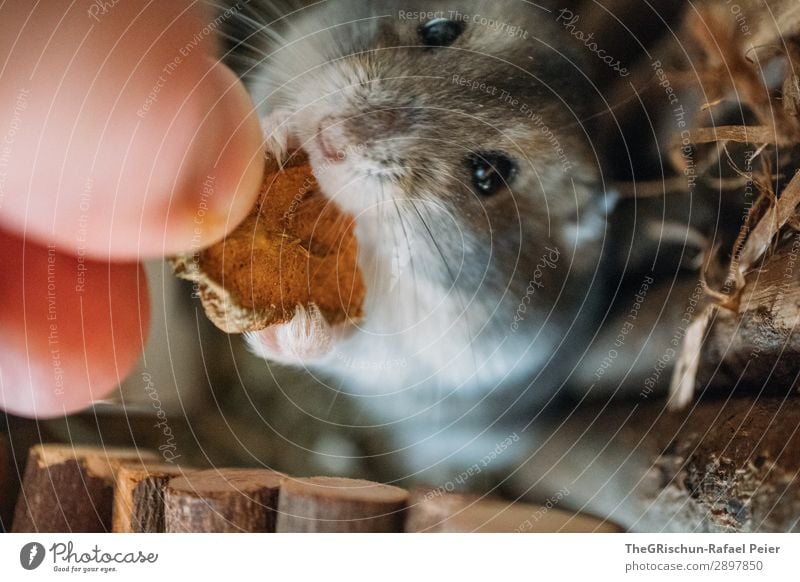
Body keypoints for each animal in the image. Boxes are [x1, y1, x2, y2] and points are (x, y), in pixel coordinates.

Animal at [216, 1, 616, 480]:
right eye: (439, 30)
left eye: (488, 174)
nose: (330, 137)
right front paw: (276, 134)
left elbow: (348, 342)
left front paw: (295, 328)